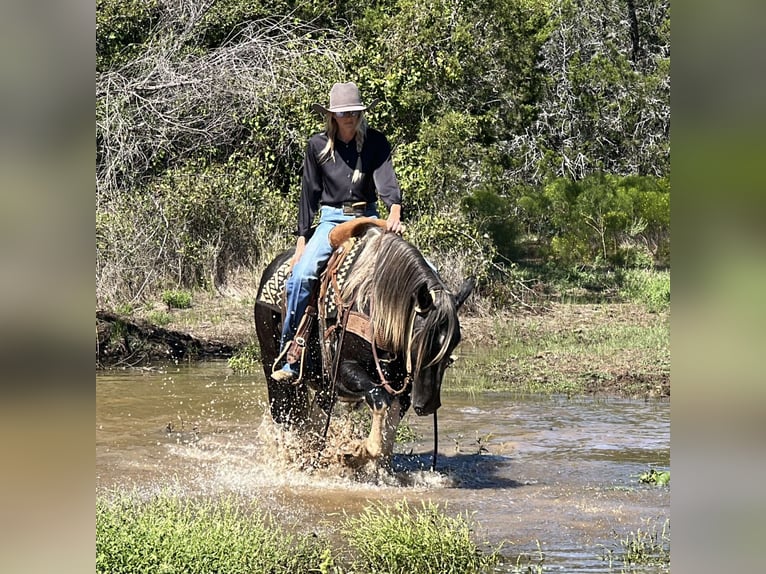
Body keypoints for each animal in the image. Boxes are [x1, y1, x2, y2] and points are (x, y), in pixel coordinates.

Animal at [255, 218, 476, 470]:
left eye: (454, 341)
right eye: (420, 339)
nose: (428, 404)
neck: (375, 308)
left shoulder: (401, 387)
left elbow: (388, 434)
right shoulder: (344, 370)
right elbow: (378, 399)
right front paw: (355, 452)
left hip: (322, 387)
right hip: (274, 369)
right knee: (285, 415)